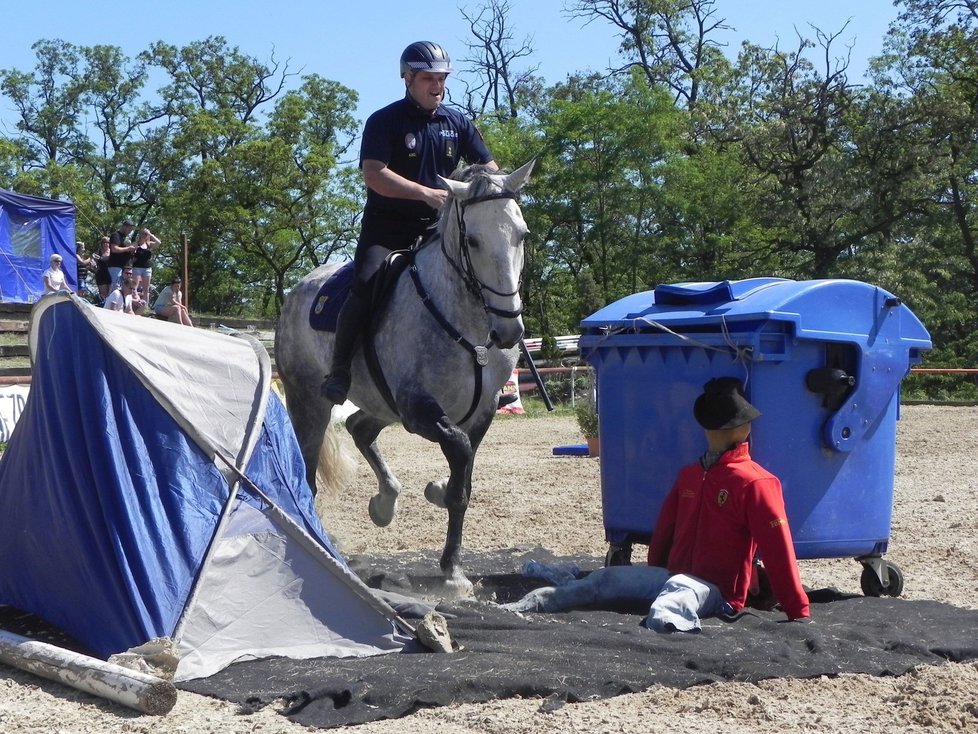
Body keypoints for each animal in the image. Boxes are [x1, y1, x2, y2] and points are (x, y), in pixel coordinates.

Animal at [274, 161, 532, 592]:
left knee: (360, 427)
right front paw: (450, 562)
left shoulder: (483, 411)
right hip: (310, 402)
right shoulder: (417, 408)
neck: (469, 325)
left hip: (380, 404)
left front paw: (453, 566)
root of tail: (300, 289)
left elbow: (464, 478)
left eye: (521, 235)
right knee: (308, 472)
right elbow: (459, 451)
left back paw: (385, 502)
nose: (509, 330)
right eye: (473, 240)